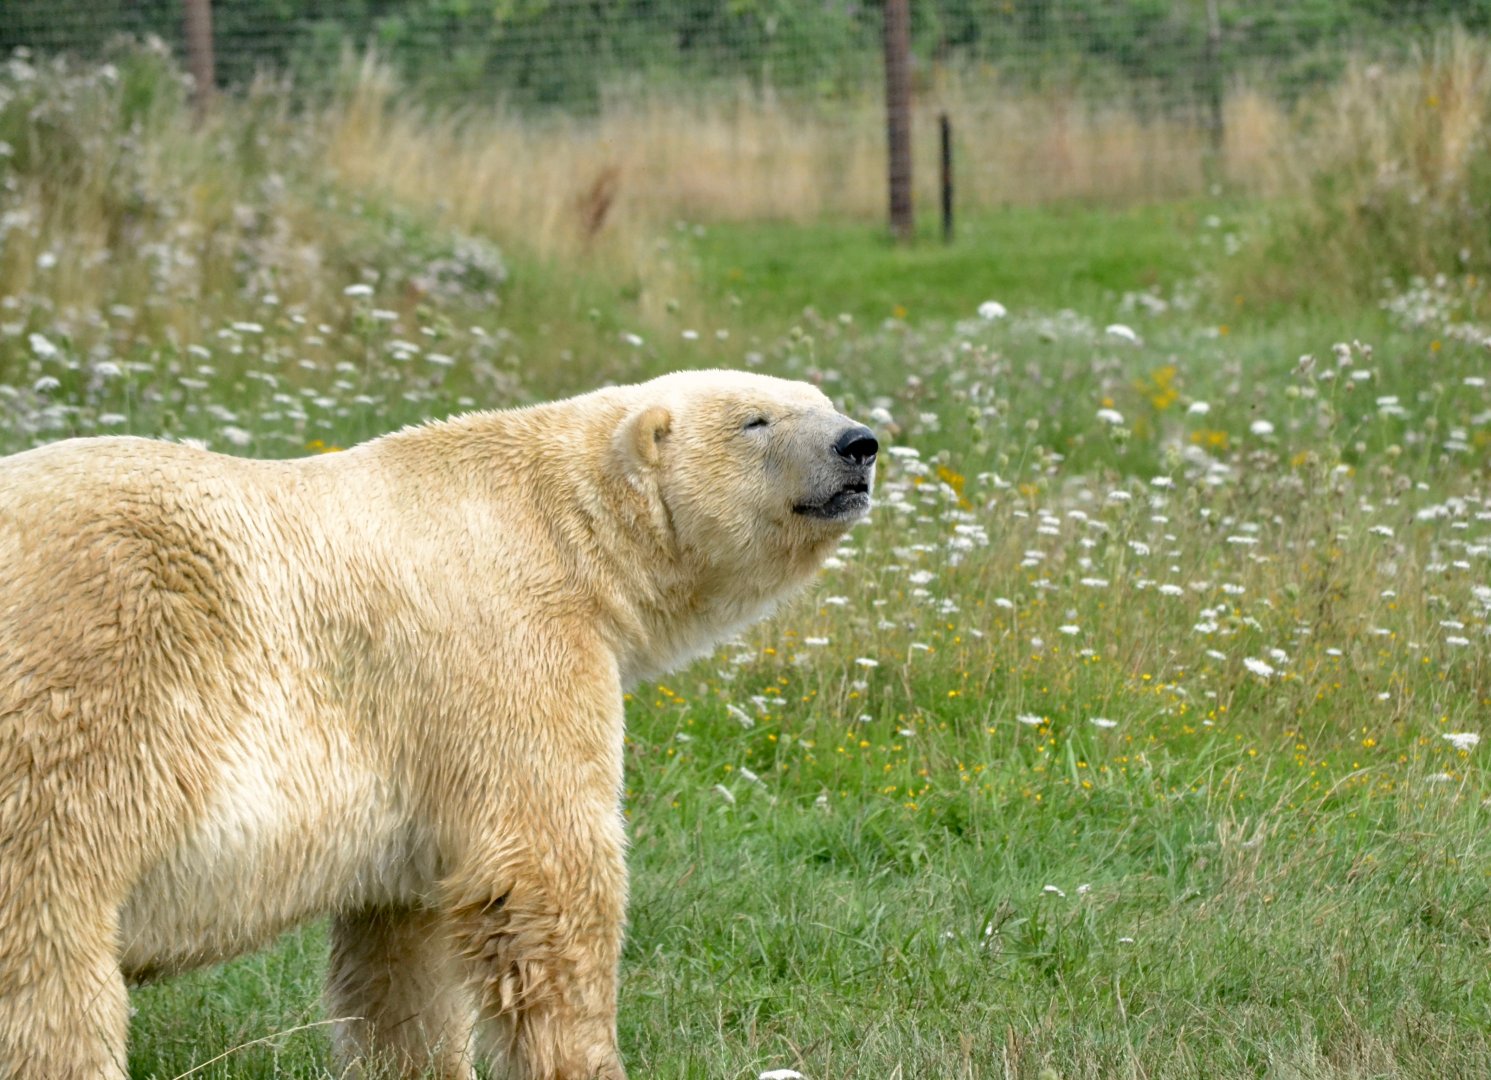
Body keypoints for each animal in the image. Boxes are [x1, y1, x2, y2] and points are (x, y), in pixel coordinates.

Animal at [0, 369, 878, 1080]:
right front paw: (586, 1059)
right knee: (50, 933)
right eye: (756, 419)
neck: (561, 525)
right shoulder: (510, 649)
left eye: (823, 399)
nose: (859, 444)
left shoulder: (417, 760)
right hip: (90, 688)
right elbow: (550, 872)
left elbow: (404, 947)